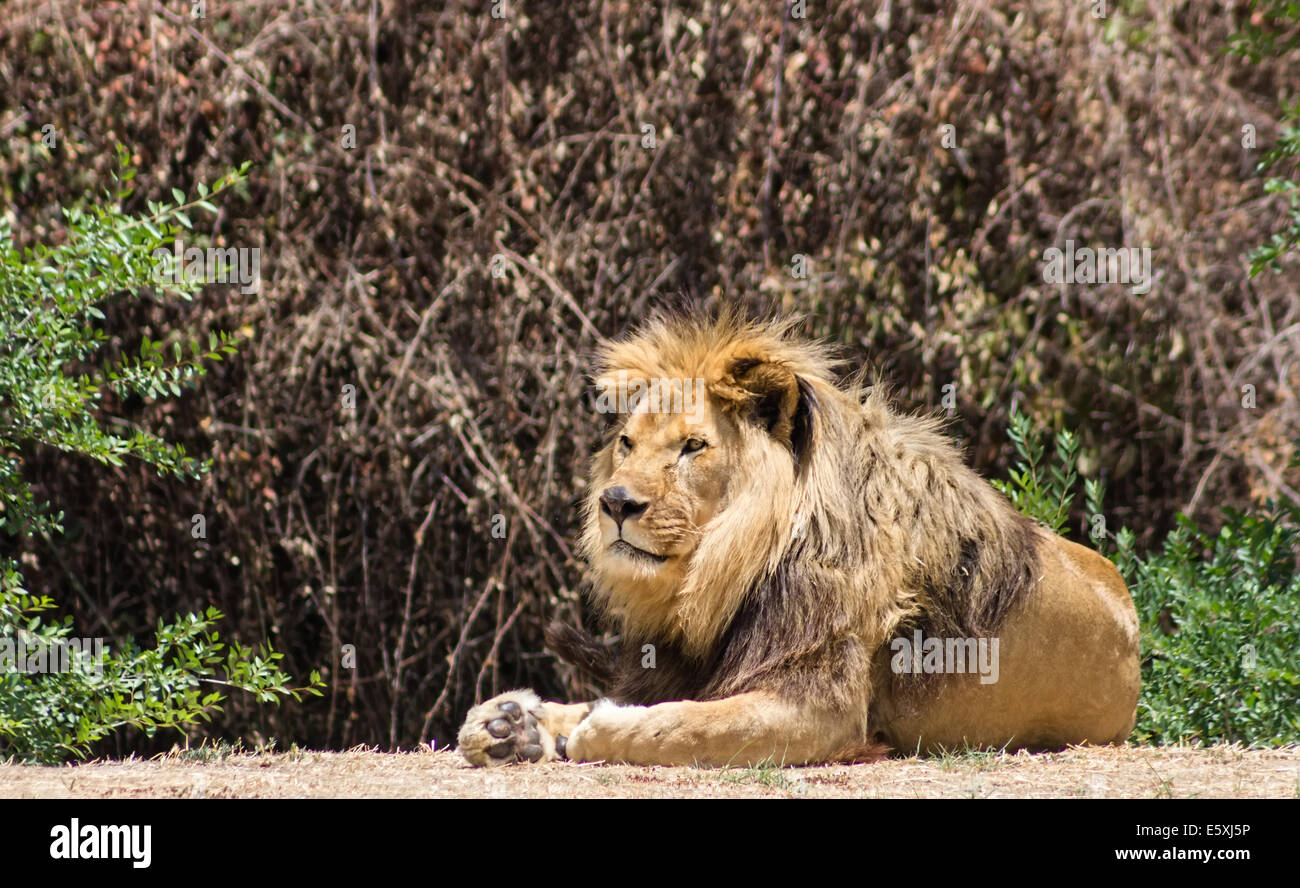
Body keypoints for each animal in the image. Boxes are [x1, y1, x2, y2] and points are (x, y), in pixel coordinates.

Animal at [457, 310, 1140, 767]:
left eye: (692, 446)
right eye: (626, 443)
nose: (616, 503)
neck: (722, 574)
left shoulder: (821, 708)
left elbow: (678, 726)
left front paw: (592, 731)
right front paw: (508, 723)